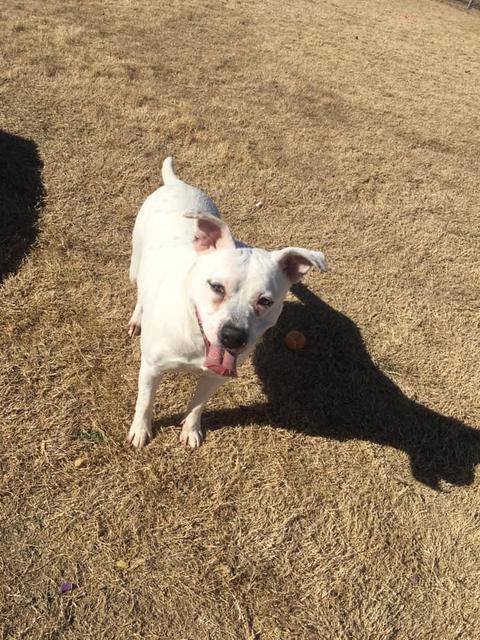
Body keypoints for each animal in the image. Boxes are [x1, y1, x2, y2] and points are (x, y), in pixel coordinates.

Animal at [127, 159, 328, 448]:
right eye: (216, 287)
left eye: (266, 301)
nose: (233, 336)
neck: (196, 338)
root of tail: (176, 184)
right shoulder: (152, 369)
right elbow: (145, 402)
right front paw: (141, 430)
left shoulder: (216, 377)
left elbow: (198, 405)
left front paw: (191, 429)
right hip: (135, 266)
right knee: (140, 293)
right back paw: (137, 318)